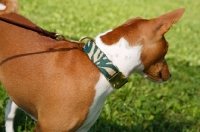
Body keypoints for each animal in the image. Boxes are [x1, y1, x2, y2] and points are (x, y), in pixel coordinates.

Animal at [0, 0, 184, 131]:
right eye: (167, 49)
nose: (169, 74)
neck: (99, 65)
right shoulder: (47, 128)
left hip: (17, 89)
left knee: (9, 111)